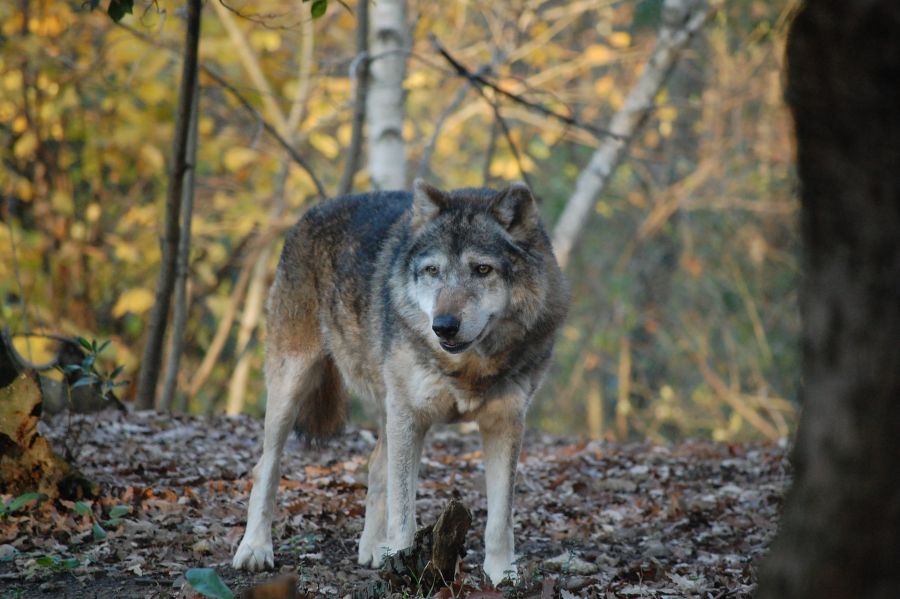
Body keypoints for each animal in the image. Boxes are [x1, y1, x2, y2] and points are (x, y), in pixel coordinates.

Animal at [232, 179, 568, 584]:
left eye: (482, 269)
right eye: (433, 270)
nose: (444, 326)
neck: (468, 366)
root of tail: (313, 212)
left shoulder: (504, 422)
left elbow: (500, 519)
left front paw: (503, 576)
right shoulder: (410, 416)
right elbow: (404, 510)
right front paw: (405, 569)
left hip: (385, 406)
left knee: (376, 465)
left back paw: (373, 548)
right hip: (293, 385)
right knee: (266, 467)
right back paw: (254, 548)